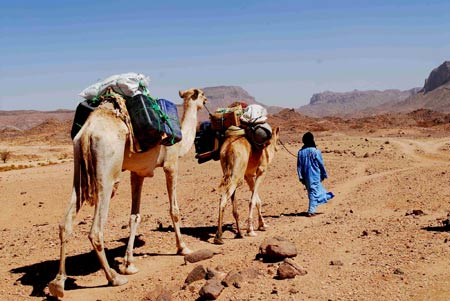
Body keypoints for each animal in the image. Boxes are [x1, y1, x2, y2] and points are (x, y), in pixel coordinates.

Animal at [48, 88, 207, 296]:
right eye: (202, 95)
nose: (206, 101)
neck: (181, 143)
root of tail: (88, 132)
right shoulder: (171, 164)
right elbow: (174, 210)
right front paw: (183, 248)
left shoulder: (137, 173)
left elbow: (135, 216)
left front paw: (129, 264)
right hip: (107, 173)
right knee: (96, 231)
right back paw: (113, 278)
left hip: (79, 173)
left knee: (65, 224)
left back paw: (58, 283)